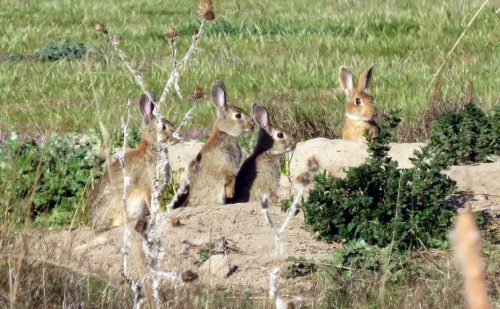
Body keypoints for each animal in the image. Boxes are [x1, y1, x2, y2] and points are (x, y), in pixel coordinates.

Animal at [89, 92, 177, 230]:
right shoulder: (149, 187)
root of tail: (95, 224)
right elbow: (152, 204)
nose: (176, 137)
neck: (152, 146)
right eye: (163, 127)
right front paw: (160, 214)